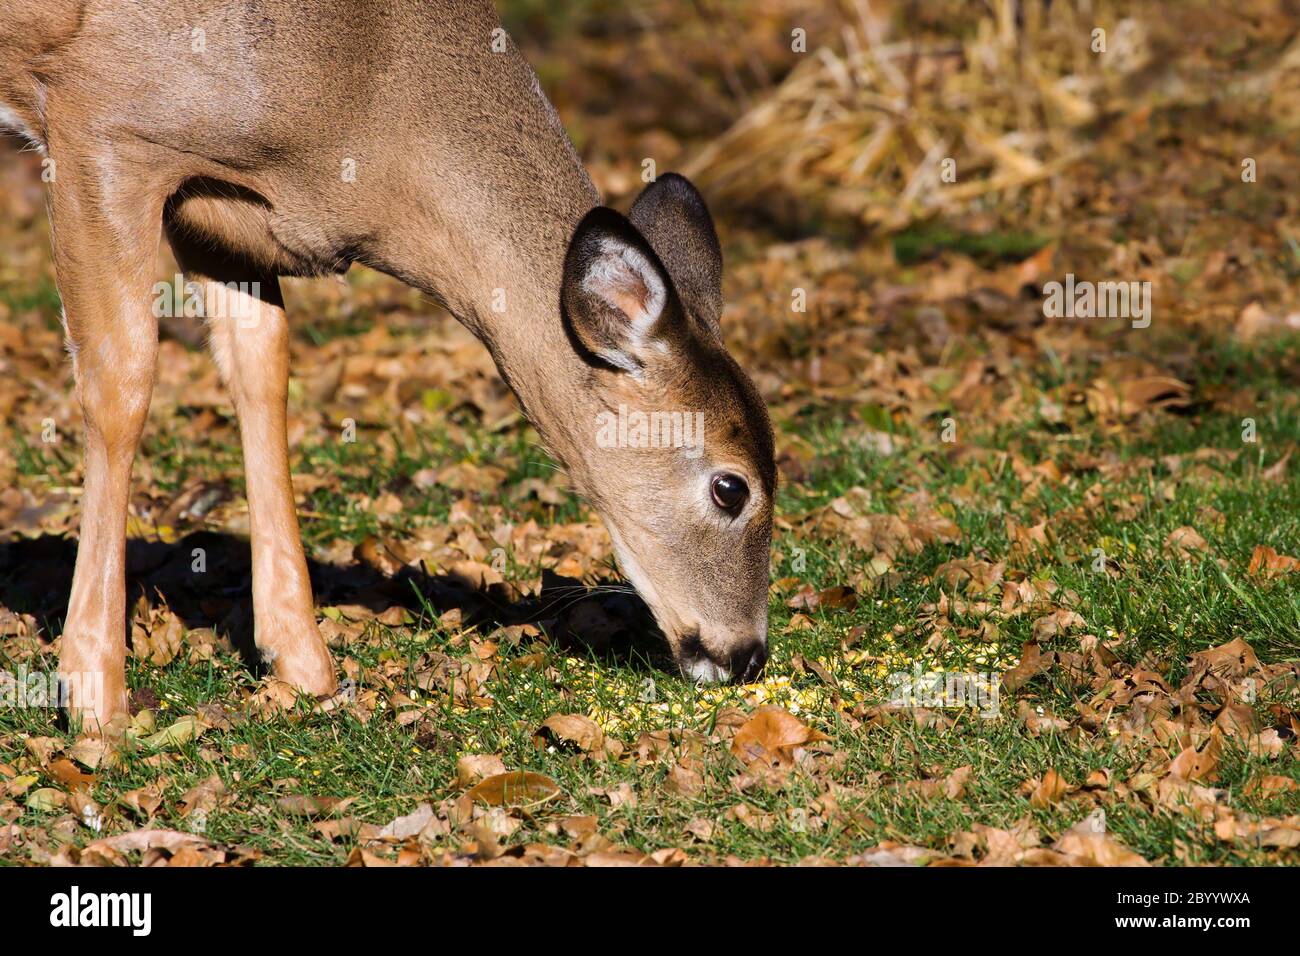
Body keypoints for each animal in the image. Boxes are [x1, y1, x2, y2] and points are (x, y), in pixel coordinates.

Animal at [0, 0, 769, 738]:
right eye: (731, 488)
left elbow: (262, 366)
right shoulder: (104, 123)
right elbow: (122, 382)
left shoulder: (221, 213)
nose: (748, 654)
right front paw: (94, 694)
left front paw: (304, 664)